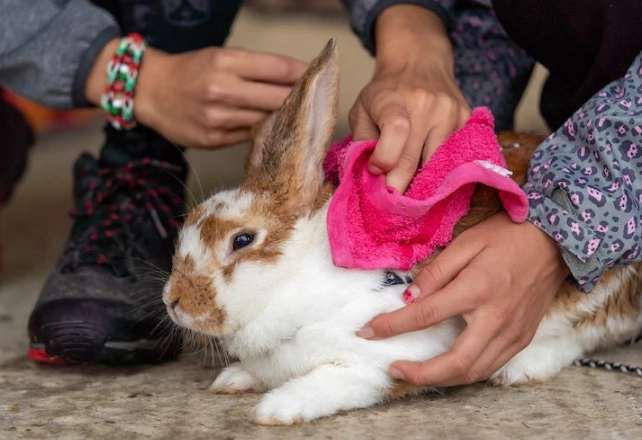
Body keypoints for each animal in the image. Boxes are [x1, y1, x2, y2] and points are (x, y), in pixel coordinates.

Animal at [162, 39, 642, 425]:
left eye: (242, 240)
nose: (173, 302)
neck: (297, 284)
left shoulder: (385, 359)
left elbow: (329, 382)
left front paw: (275, 410)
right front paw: (234, 379)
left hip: (595, 289)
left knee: (588, 335)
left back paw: (521, 366)